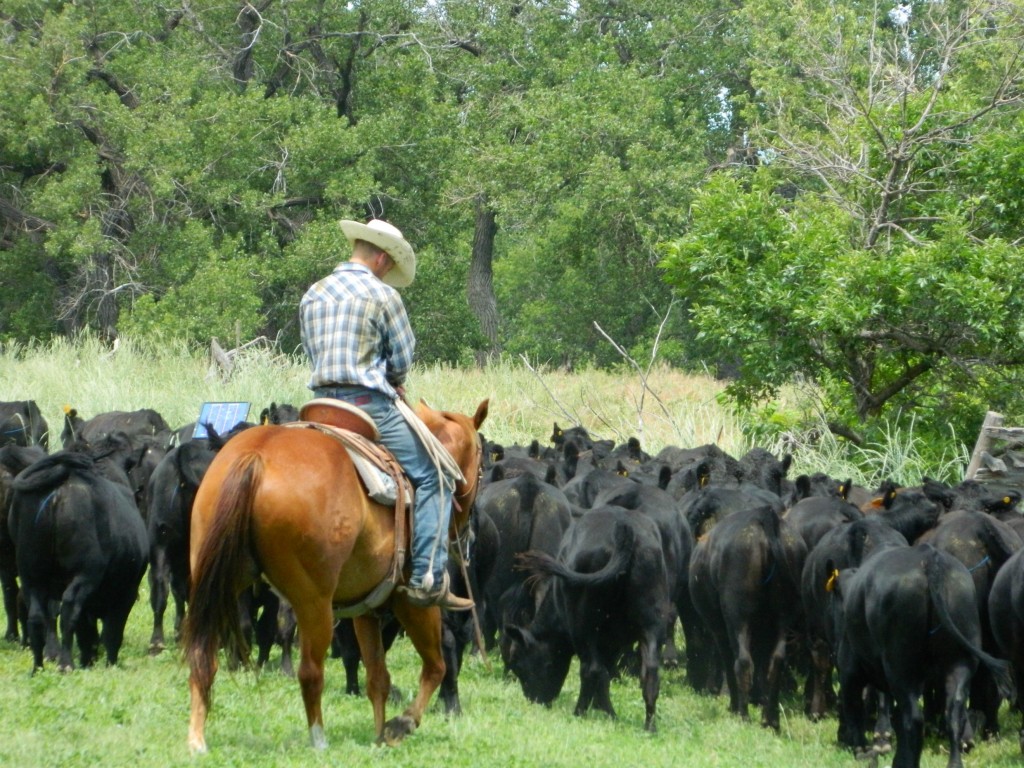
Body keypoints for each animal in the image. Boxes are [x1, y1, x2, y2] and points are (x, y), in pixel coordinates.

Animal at [8, 450, 147, 671]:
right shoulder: (127, 592)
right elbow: (112, 632)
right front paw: (109, 663)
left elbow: (87, 632)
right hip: (84, 574)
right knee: (69, 610)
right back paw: (65, 663)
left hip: (31, 574)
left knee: (37, 616)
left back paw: (38, 667)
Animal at [183, 399, 487, 753]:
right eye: (481, 463)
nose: (469, 532)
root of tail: (256, 455)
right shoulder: (412, 601)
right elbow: (435, 666)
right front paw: (400, 725)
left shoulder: (367, 607)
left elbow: (378, 677)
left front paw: (379, 733)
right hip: (314, 602)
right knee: (310, 671)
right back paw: (319, 740)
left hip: (216, 584)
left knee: (203, 655)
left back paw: (197, 738)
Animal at [505, 505, 671, 733]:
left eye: (518, 664)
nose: (534, 700)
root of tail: (625, 530)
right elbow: (608, 673)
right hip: (652, 622)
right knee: (650, 673)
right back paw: (649, 726)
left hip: (582, 626)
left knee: (591, 668)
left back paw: (581, 713)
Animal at [688, 505, 806, 733]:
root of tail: (764, 515)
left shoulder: (720, 629)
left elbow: (728, 661)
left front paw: (734, 705)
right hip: (783, 617)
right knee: (775, 660)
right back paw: (771, 719)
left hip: (738, 617)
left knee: (742, 661)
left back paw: (742, 713)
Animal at [831, 544, 1015, 765]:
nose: (840, 738)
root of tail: (928, 556)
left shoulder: (849, 668)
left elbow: (854, 705)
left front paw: (861, 749)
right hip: (960, 661)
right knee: (954, 712)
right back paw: (954, 761)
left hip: (901, 668)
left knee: (913, 719)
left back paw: (903, 762)